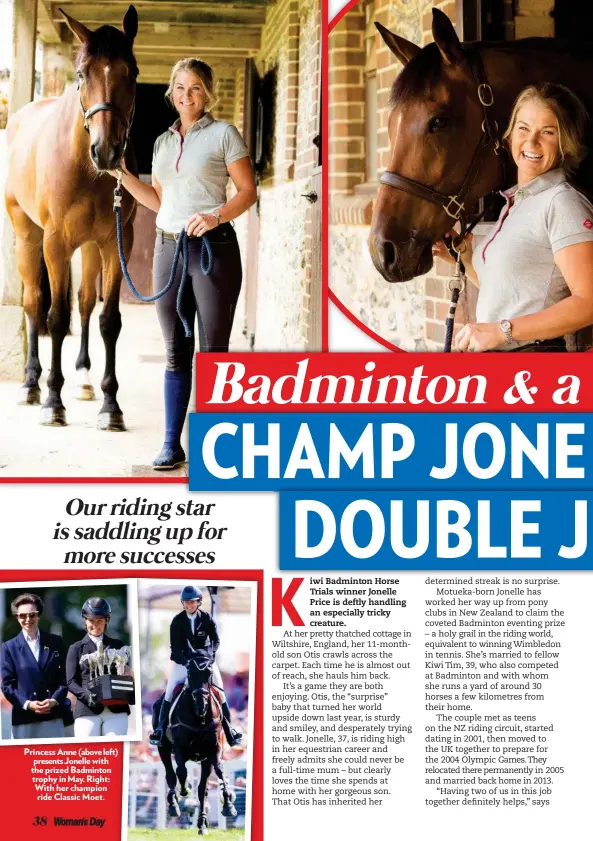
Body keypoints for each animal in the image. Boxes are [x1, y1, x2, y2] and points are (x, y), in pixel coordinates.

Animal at [5, 4, 137, 426]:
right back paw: (31, 384)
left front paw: (111, 406)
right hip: (28, 238)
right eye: (82, 75)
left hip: (91, 248)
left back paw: (83, 380)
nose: (107, 151)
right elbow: (55, 317)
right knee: (34, 303)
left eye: (132, 72)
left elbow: (108, 320)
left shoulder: (116, 244)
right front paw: (52, 400)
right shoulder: (55, 243)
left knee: (84, 302)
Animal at [153, 648, 238, 832]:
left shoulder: (214, 749)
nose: (202, 706)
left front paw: (228, 805)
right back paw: (174, 805)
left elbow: (219, 771)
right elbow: (181, 772)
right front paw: (184, 790)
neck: (199, 719)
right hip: (163, 748)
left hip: (205, 759)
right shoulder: (179, 747)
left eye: (209, 673)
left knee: (202, 788)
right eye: (190, 673)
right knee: (171, 773)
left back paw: (202, 822)